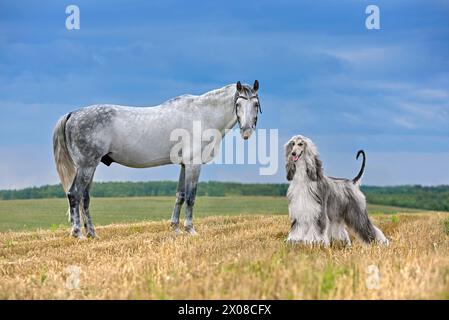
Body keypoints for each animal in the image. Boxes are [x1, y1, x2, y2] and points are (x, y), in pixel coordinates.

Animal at [53, 81, 260, 239]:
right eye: (239, 104)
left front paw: (175, 229)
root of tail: (73, 114)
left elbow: (180, 195)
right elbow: (191, 196)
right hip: (86, 166)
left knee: (84, 198)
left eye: (256, 104)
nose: (247, 131)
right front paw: (190, 230)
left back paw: (92, 234)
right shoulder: (193, 164)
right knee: (74, 194)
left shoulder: (184, 165)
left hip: (90, 166)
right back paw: (78, 234)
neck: (202, 115)